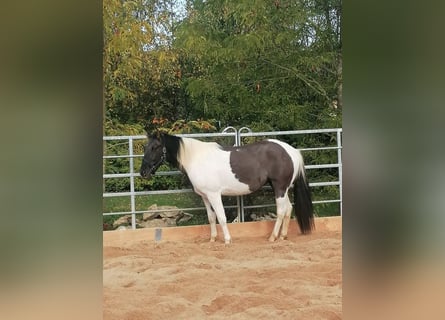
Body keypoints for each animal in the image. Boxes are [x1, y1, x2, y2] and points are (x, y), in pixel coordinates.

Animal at [140, 131, 314, 244]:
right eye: (145, 147)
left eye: (155, 147)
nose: (143, 172)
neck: (197, 158)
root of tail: (291, 151)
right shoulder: (205, 196)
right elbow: (211, 217)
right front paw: (212, 239)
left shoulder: (214, 195)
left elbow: (222, 217)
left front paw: (227, 240)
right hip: (282, 189)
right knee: (288, 209)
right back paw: (282, 236)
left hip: (279, 188)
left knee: (281, 211)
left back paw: (272, 237)